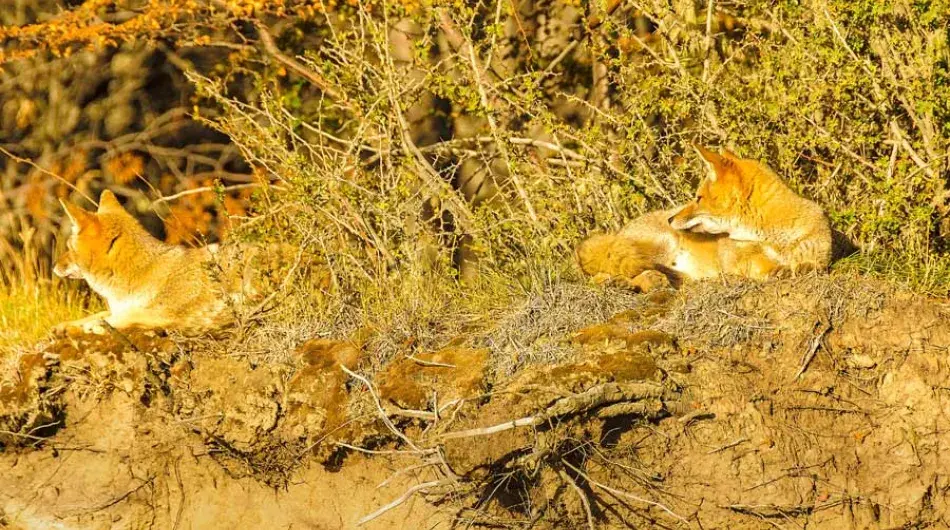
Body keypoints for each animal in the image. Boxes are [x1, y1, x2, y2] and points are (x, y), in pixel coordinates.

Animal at [53, 190, 240, 335]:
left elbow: (127, 316)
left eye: (68, 247)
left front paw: (93, 326)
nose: (53, 266)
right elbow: (97, 314)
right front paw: (65, 326)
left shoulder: (169, 313)